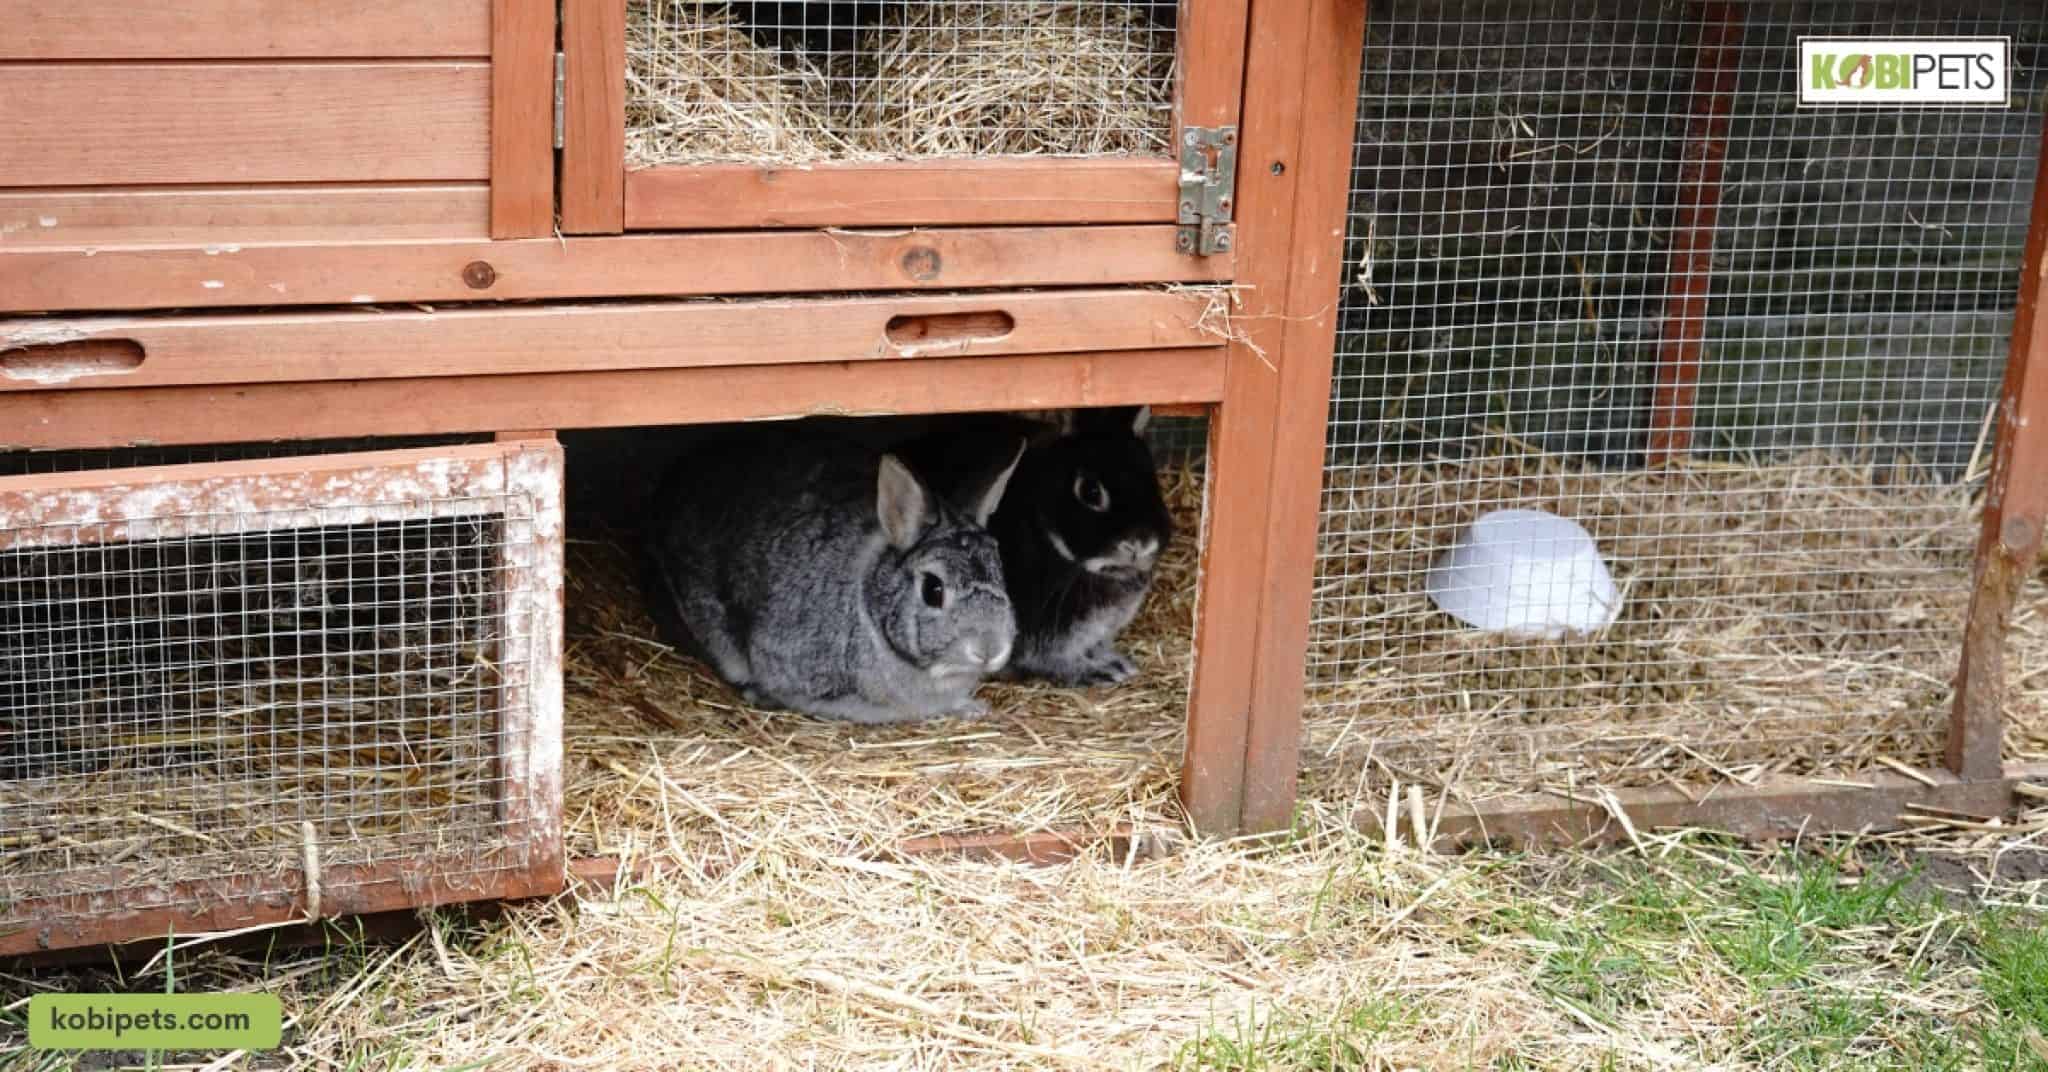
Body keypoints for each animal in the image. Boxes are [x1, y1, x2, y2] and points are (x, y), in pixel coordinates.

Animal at [903, 406, 1173, 687]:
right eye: (1090, 491)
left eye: (1153, 481)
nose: (1142, 544)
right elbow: (1051, 662)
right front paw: (1100, 671)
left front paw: (1113, 660)